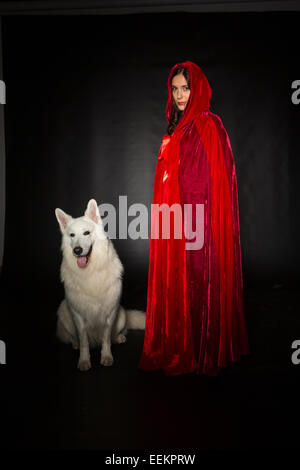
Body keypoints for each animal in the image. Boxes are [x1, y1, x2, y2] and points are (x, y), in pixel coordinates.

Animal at [56, 198, 146, 370]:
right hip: (64, 308)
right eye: (72, 235)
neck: (90, 271)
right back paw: (75, 343)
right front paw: (84, 360)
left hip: (121, 314)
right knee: (72, 337)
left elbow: (106, 337)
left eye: (86, 233)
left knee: (116, 334)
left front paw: (106, 356)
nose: (77, 250)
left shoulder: (110, 312)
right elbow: (84, 340)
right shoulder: (78, 315)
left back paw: (118, 338)